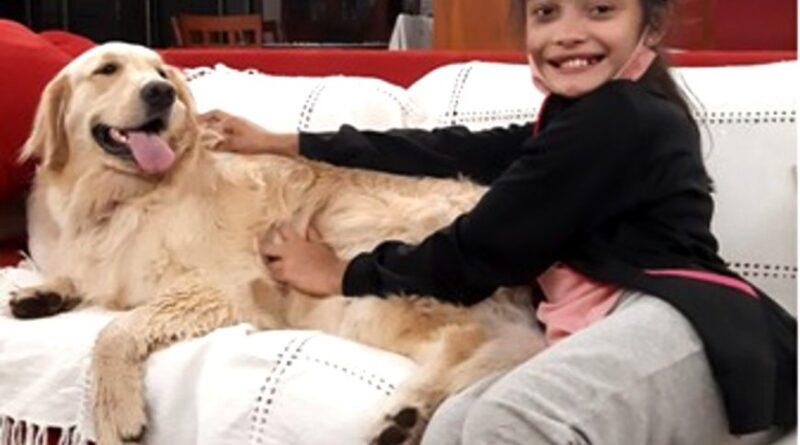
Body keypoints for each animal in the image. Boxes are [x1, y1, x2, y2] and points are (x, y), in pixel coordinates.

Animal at [10, 42, 546, 445]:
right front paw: (42, 292)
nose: (161, 93)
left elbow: (113, 331)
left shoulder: (218, 288)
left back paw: (405, 413)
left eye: (161, 73)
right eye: (107, 69)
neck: (119, 197)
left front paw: (113, 409)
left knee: (469, 339)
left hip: (362, 282)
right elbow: (83, 280)